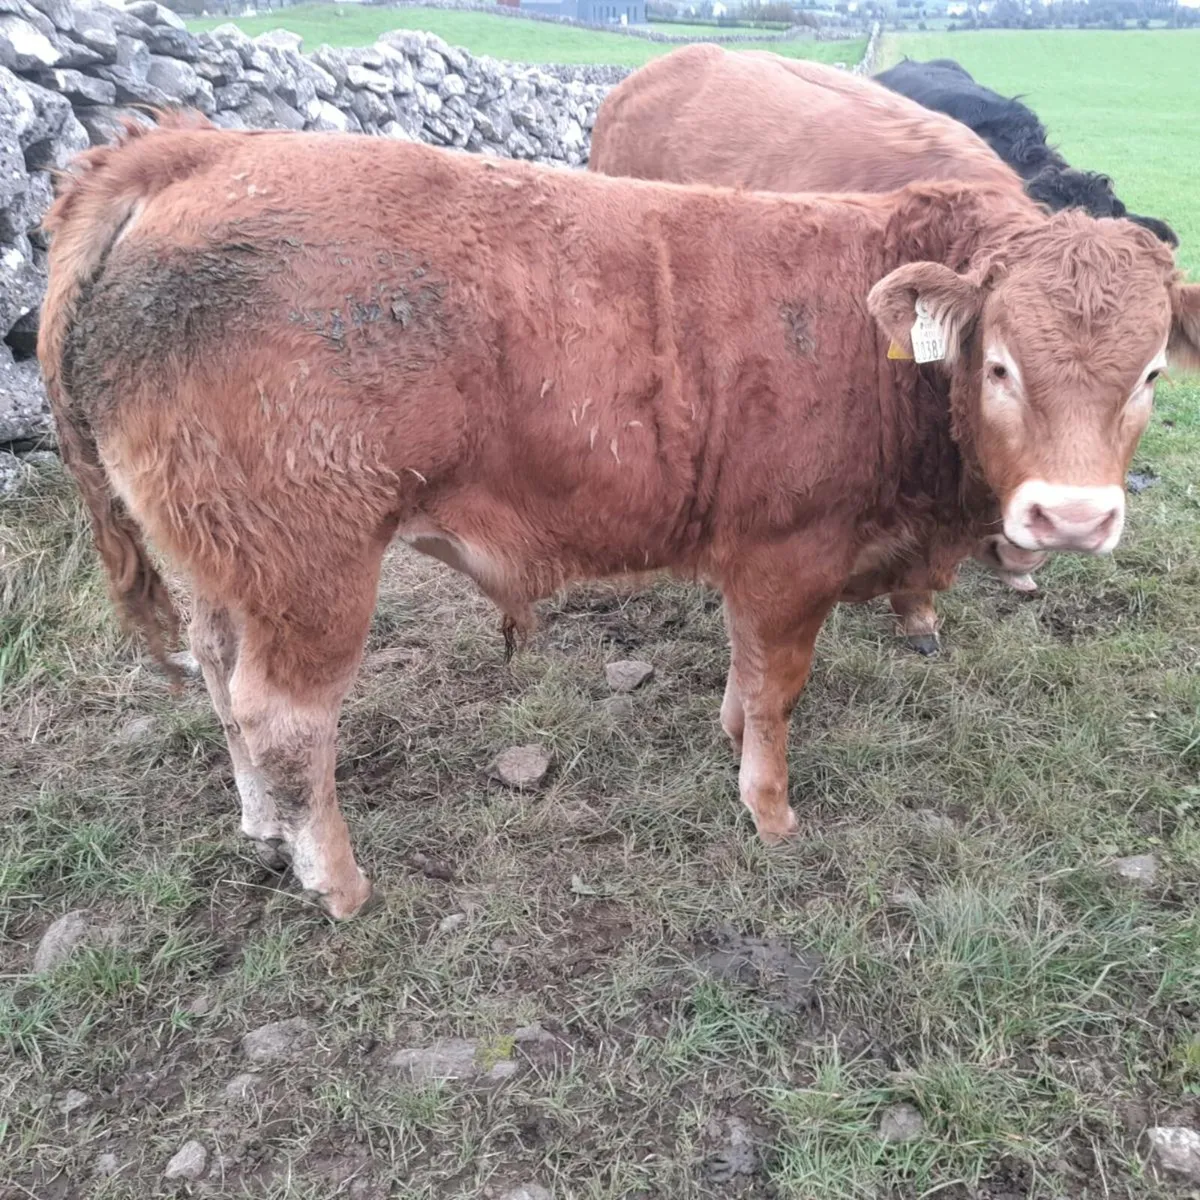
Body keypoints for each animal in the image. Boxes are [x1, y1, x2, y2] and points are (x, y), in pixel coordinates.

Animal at [40, 114, 1199, 919]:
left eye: (1148, 374)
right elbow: (779, 685)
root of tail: (195, 150)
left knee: (223, 682)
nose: (1072, 517)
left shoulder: (753, 558)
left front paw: (730, 735)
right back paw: (335, 879)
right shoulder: (793, 554)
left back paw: (261, 824)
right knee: (284, 714)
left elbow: (743, 666)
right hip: (309, 565)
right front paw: (769, 809)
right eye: (999, 363)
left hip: (219, 555)